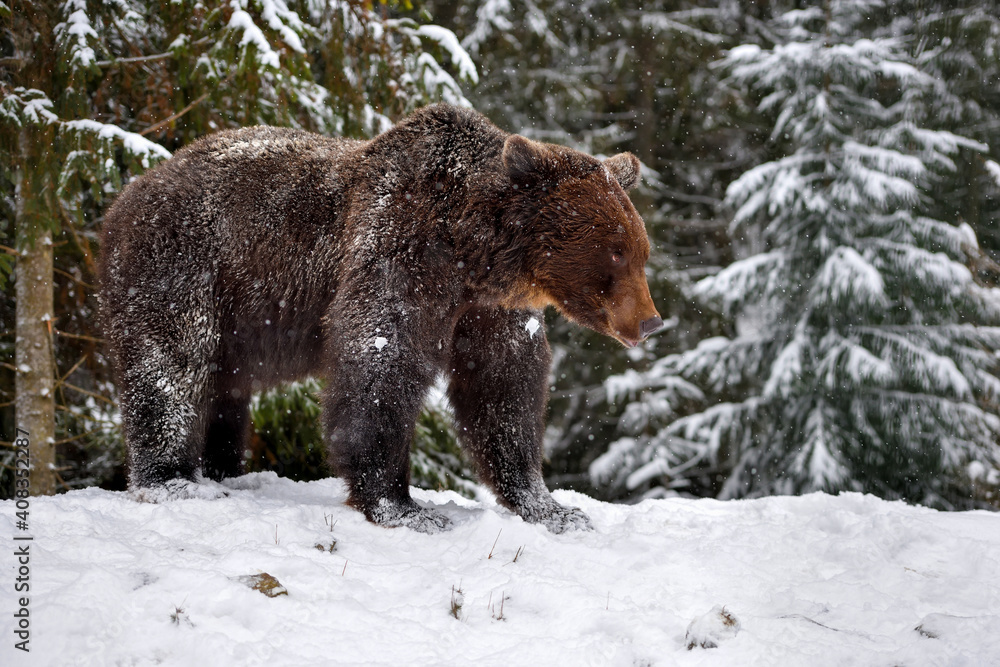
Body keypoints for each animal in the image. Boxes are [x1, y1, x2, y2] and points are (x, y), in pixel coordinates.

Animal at [99, 103, 662, 533]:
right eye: (615, 251)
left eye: (640, 250)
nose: (651, 321)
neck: (473, 255)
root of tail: (126, 194)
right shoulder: (398, 254)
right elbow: (380, 365)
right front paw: (403, 506)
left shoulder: (488, 312)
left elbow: (503, 390)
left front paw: (549, 506)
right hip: (184, 264)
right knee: (170, 365)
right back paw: (172, 480)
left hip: (232, 317)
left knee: (224, 390)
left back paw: (222, 471)